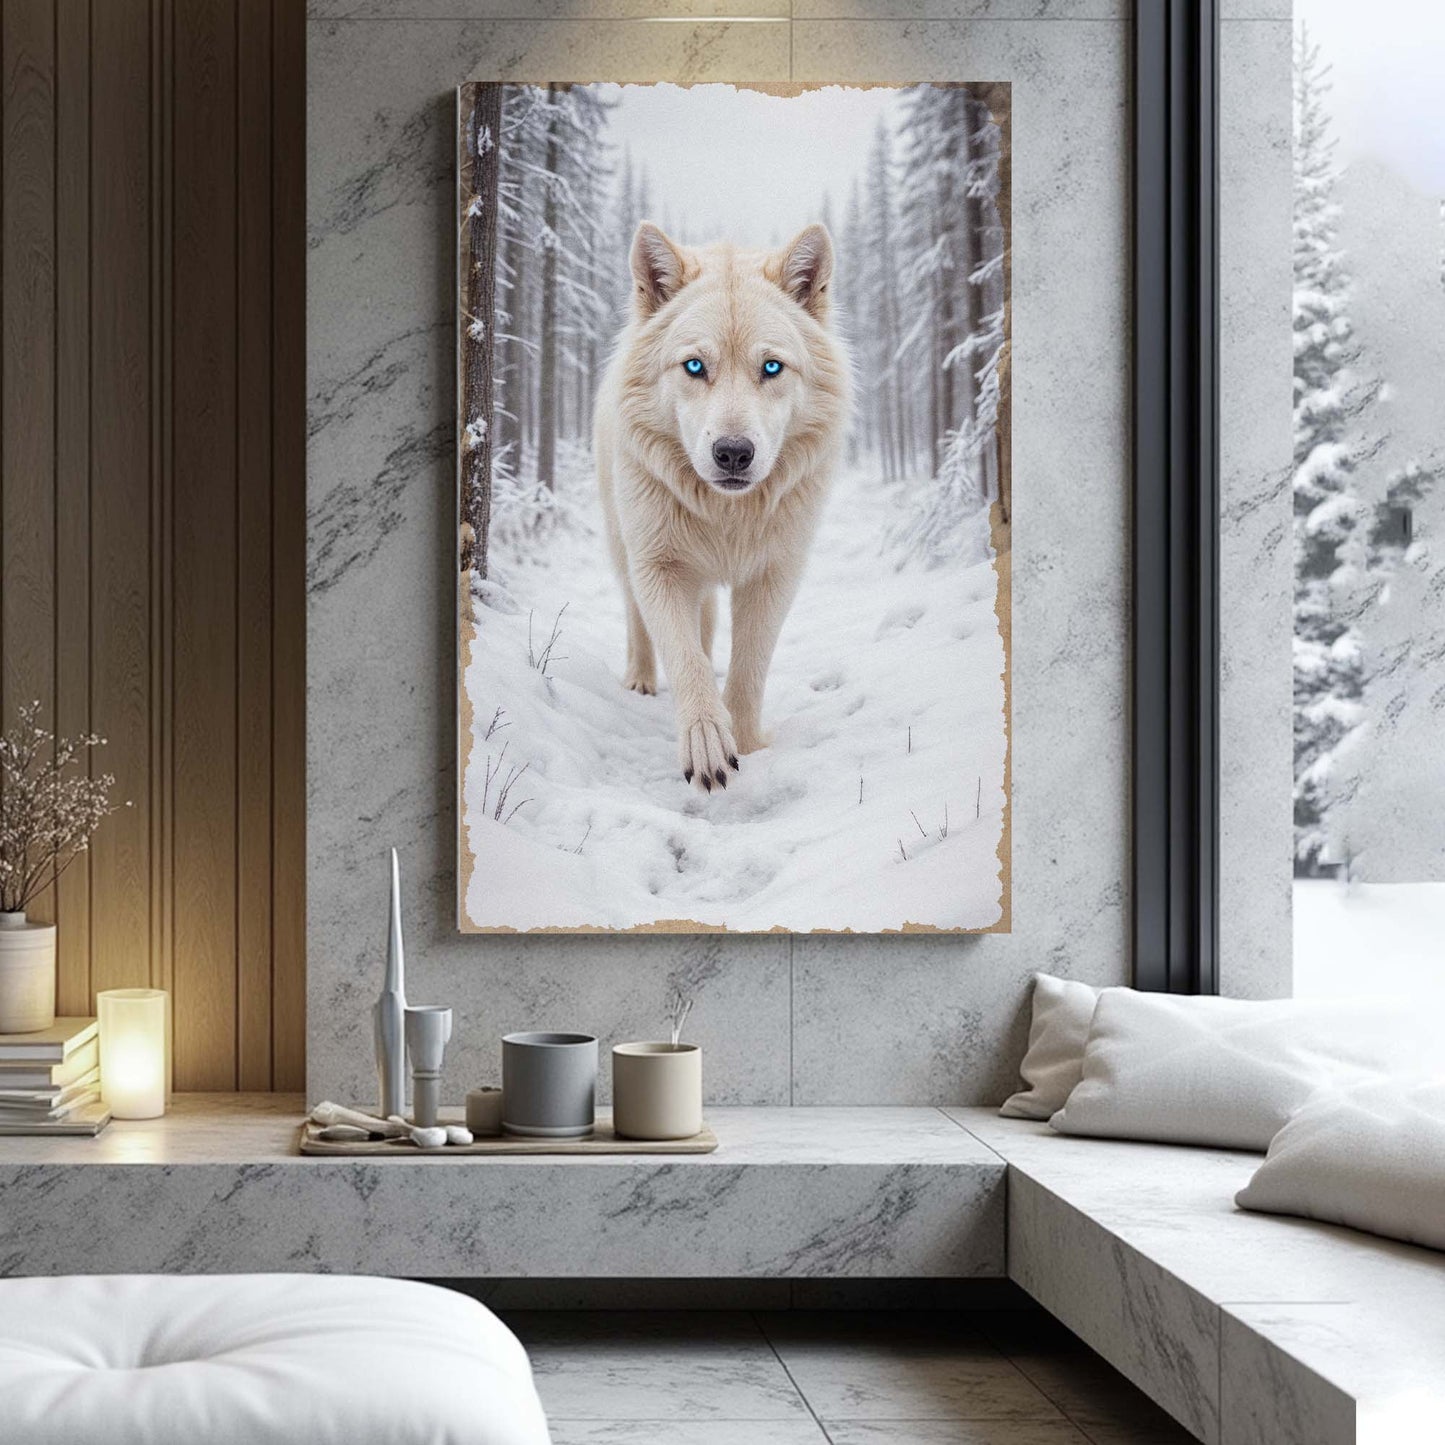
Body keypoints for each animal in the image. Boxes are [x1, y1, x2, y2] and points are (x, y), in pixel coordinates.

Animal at [593, 220, 851, 793]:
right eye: (694, 366)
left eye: (772, 367)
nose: (733, 453)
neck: (726, 517)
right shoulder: (659, 568)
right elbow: (682, 657)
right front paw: (708, 743)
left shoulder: (775, 574)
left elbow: (749, 667)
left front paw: (748, 745)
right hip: (625, 549)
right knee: (637, 618)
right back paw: (640, 679)